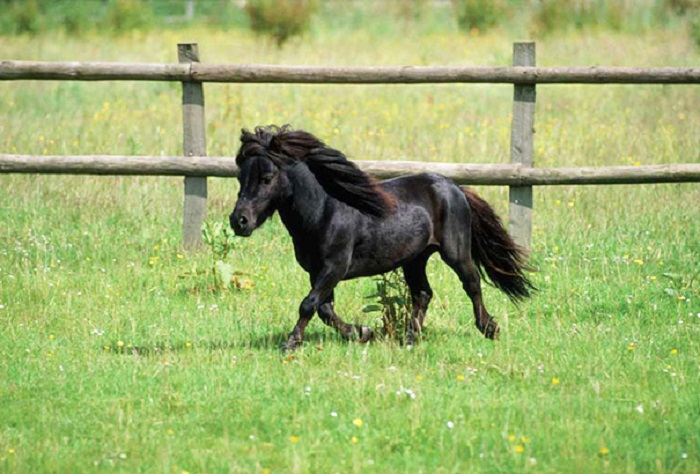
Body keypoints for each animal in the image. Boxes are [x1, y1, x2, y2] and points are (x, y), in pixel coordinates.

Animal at [231, 124, 536, 350]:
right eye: (240, 178)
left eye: (267, 178)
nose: (239, 221)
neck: (323, 211)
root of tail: (455, 188)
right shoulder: (316, 272)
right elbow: (324, 310)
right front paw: (363, 333)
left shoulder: (334, 267)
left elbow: (308, 304)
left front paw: (290, 343)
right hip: (415, 259)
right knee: (423, 293)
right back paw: (410, 338)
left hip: (455, 251)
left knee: (471, 283)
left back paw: (489, 328)